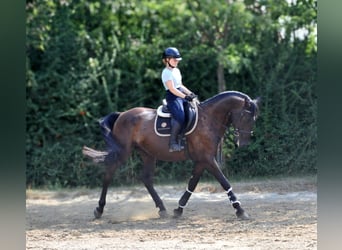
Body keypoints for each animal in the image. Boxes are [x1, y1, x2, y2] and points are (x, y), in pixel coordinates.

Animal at [83, 91, 260, 220]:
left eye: (255, 118)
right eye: (245, 116)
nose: (243, 143)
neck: (208, 119)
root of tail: (121, 115)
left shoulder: (202, 160)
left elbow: (192, 184)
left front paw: (178, 210)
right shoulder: (208, 159)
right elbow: (224, 182)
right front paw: (240, 210)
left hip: (147, 154)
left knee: (146, 178)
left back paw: (162, 209)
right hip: (123, 152)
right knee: (109, 174)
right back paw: (99, 209)